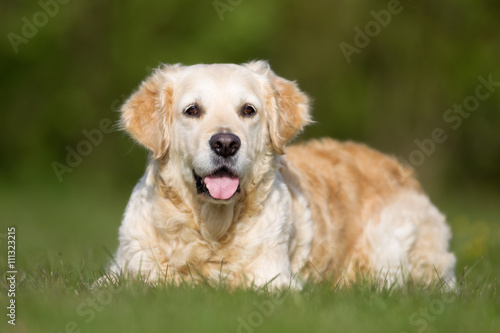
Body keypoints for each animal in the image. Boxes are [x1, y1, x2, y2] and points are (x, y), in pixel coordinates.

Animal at [108, 60, 454, 288]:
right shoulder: (125, 269)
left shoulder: (271, 278)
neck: (213, 227)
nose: (225, 143)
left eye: (248, 110)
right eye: (192, 110)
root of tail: (402, 169)